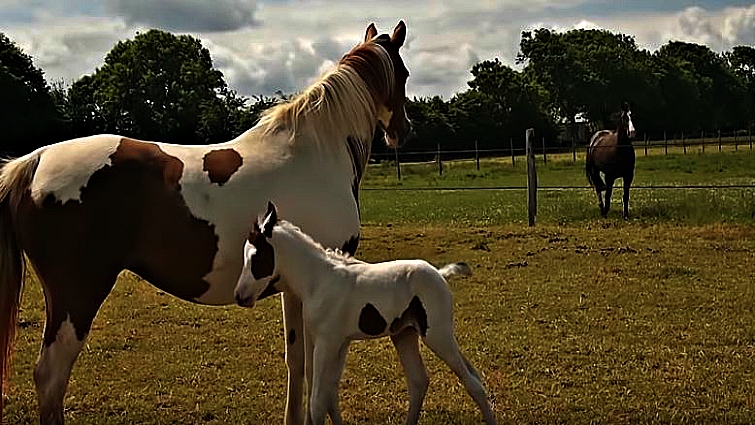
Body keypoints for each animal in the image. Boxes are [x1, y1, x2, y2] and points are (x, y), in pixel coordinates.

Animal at [0, 21, 411, 425]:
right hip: (76, 297)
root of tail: (35, 160)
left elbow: (297, 363)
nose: (403, 130)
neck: (314, 154)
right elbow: (316, 371)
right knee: (51, 377)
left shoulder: (296, 289)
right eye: (404, 74)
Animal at [234, 202, 498, 425]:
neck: (318, 280)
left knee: (472, 382)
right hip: (404, 334)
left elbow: (318, 401)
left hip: (437, 334)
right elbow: (330, 395)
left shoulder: (327, 342)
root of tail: (441, 274)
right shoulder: (340, 343)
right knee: (420, 381)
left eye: (256, 257)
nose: (239, 296)